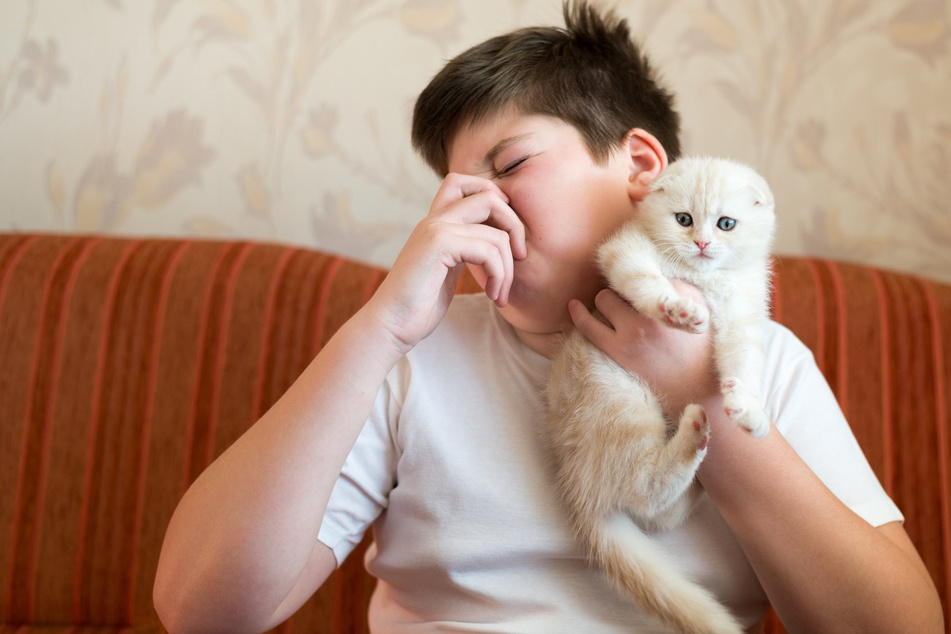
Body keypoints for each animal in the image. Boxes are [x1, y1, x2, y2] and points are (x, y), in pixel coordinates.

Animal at [548, 156, 776, 632]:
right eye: (683, 219)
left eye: (726, 223)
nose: (702, 243)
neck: (704, 280)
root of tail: (575, 479)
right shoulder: (626, 250)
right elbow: (641, 278)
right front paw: (676, 309)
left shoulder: (743, 313)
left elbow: (744, 358)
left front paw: (747, 408)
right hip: (621, 403)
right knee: (645, 485)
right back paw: (693, 433)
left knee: (657, 509)